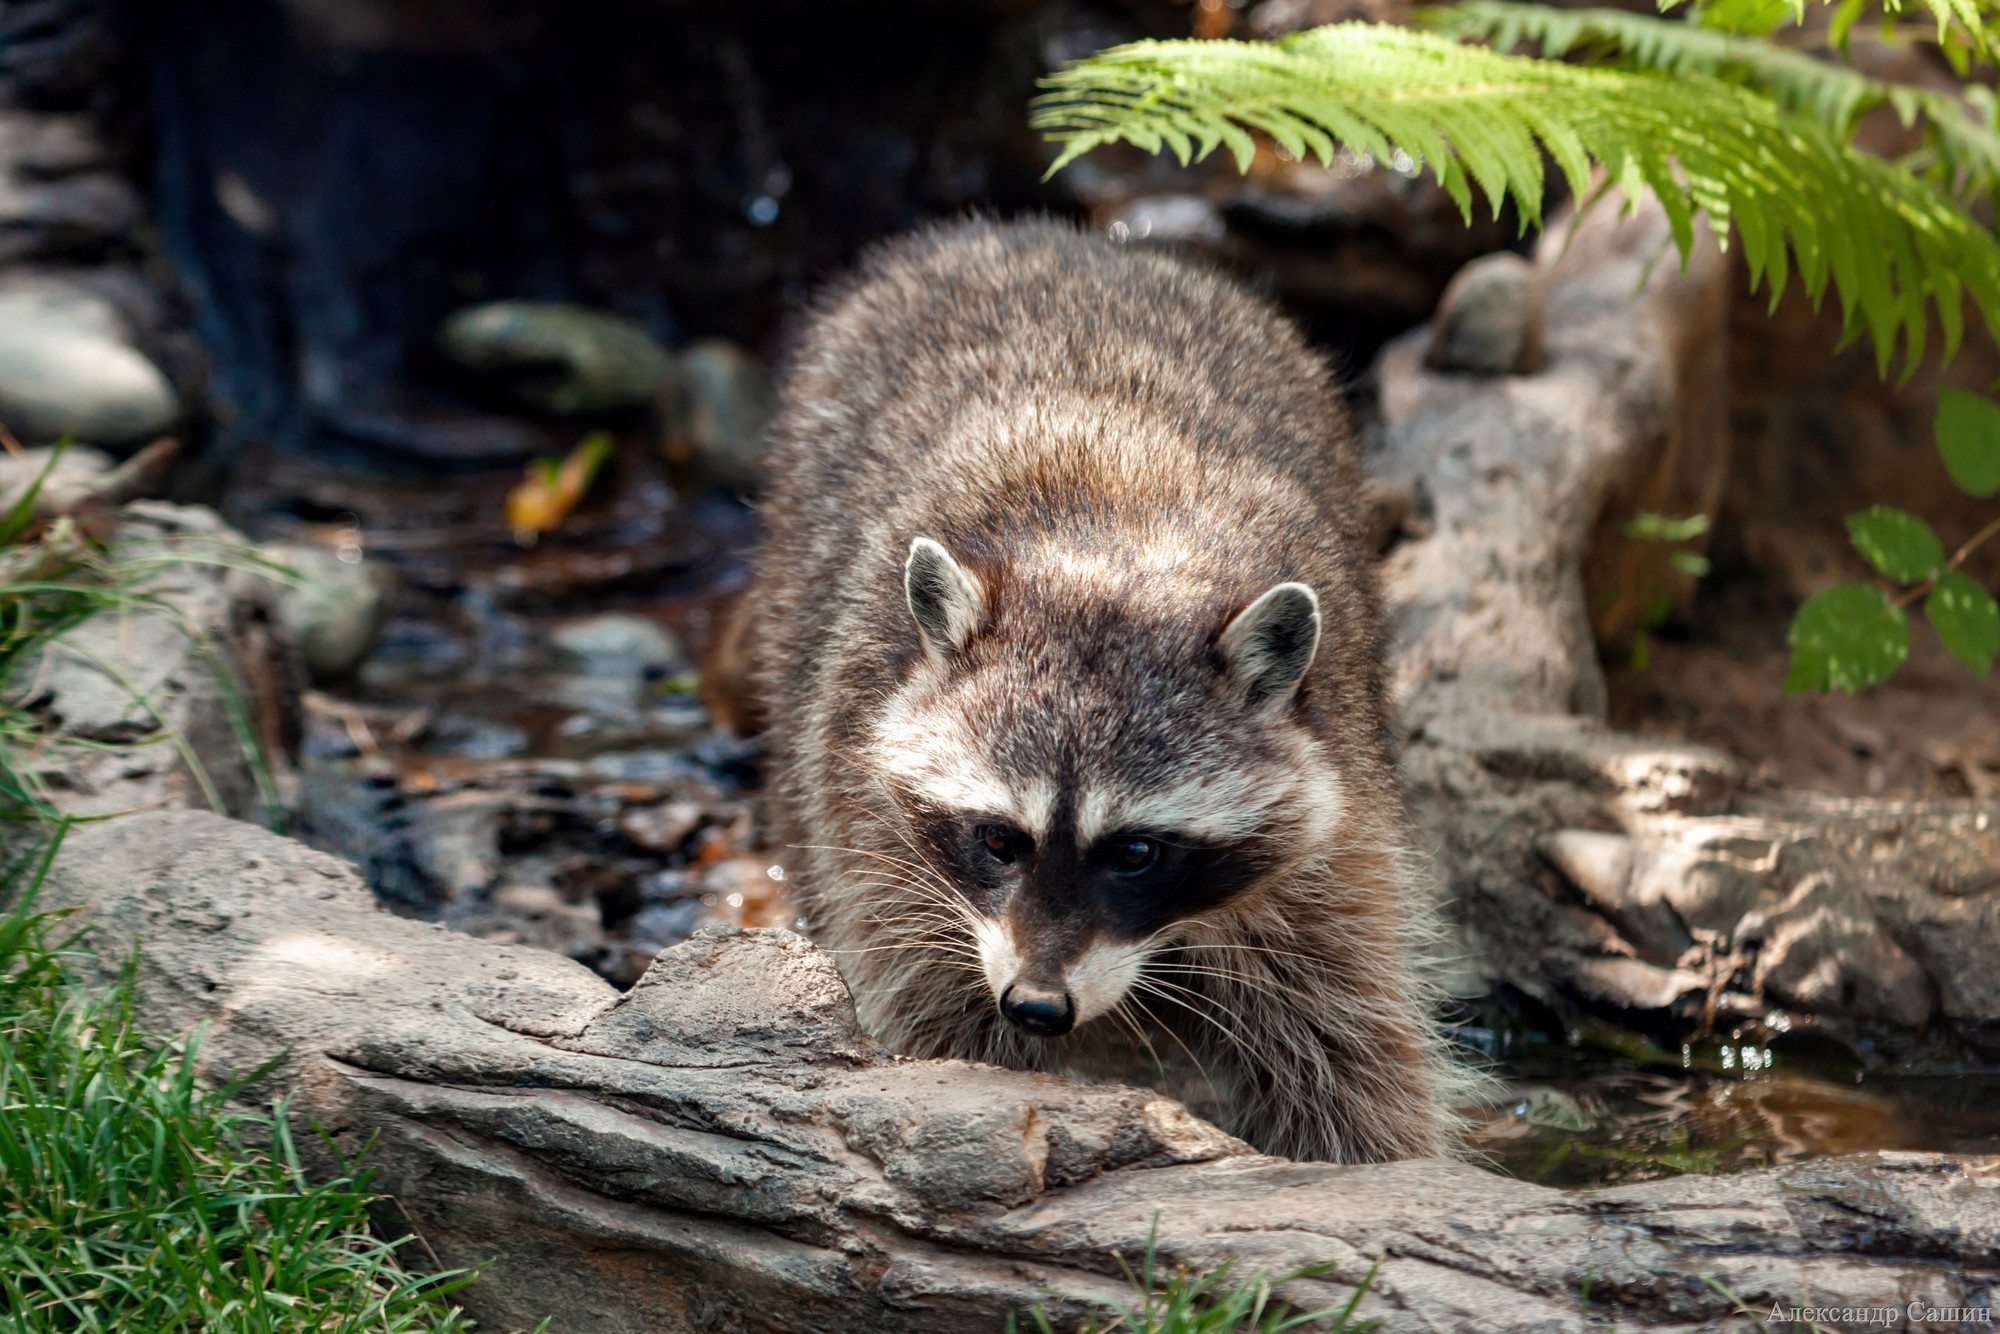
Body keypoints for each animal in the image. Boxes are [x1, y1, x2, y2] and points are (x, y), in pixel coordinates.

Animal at [744, 217, 1464, 1160]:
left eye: (1135, 852)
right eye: (998, 839)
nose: (1038, 1006)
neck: (1111, 551)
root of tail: (1037, 234)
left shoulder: (1333, 839)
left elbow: (1351, 1039)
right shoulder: (870, 816)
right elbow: (921, 1000)